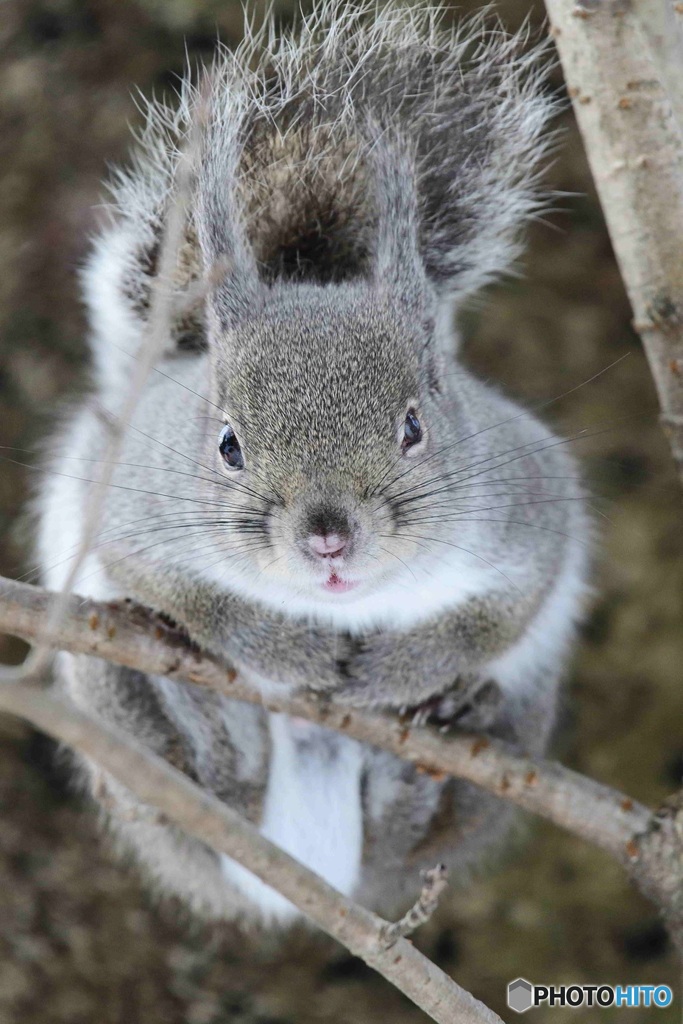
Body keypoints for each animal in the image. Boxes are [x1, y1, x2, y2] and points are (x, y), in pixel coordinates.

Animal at [36, 2, 589, 929]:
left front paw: (402, 669)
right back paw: (206, 720)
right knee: (206, 787)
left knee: (407, 843)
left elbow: (498, 613)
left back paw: (423, 758)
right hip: (108, 706)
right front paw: (282, 648)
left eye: (413, 427)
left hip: (513, 732)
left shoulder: (528, 510)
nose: (328, 539)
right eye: (228, 444)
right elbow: (190, 593)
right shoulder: (131, 507)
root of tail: (320, 887)